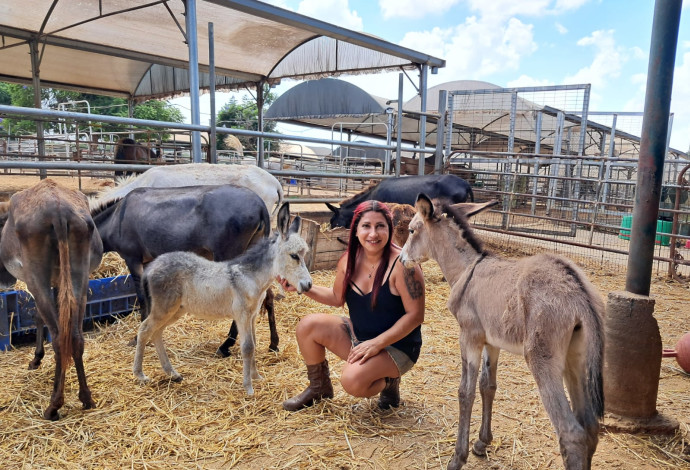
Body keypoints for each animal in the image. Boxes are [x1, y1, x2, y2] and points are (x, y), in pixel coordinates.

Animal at [134, 204, 312, 394]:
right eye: (294, 256)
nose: (308, 285)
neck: (251, 277)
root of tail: (152, 266)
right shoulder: (242, 316)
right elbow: (248, 347)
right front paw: (248, 387)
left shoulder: (252, 316)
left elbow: (254, 343)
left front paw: (256, 376)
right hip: (164, 308)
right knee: (144, 329)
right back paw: (140, 374)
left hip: (175, 310)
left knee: (156, 332)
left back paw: (173, 373)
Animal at [398, 193, 600, 468]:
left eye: (411, 230)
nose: (401, 259)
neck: (466, 270)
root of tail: (578, 292)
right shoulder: (491, 342)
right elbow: (488, 386)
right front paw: (482, 443)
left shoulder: (469, 337)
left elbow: (465, 392)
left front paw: (458, 457)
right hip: (575, 360)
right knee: (590, 427)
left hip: (543, 360)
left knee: (572, 434)